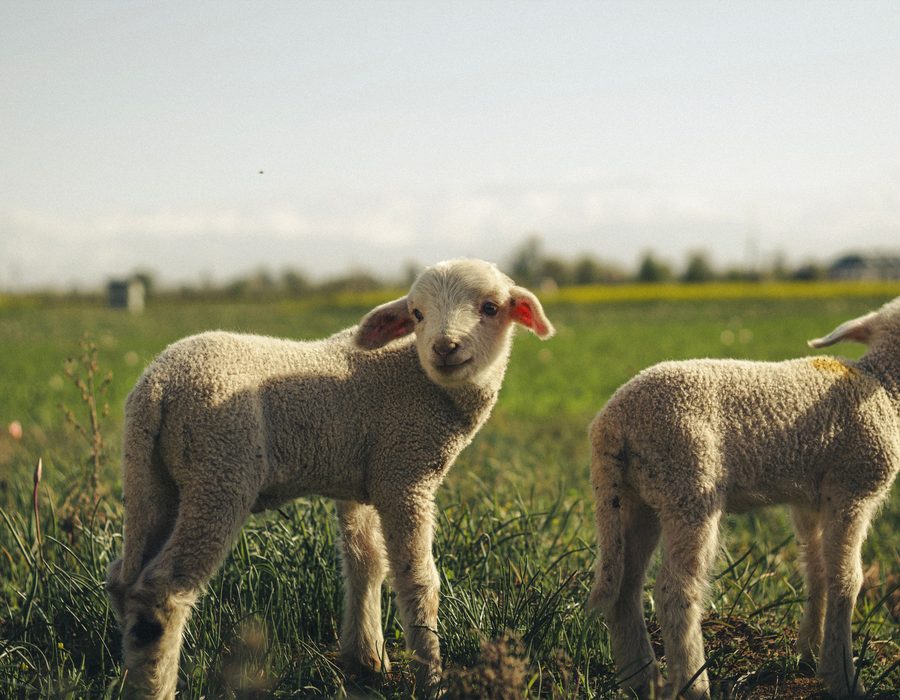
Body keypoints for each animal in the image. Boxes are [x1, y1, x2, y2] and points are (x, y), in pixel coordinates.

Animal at [104, 258, 555, 699]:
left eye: (490, 308)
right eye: (417, 314)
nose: (444, 348)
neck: (423, 382)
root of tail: (157, 386)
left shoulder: (362, 479)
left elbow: (365, 562)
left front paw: (366, 661)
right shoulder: (404, 475)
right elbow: (417, 579)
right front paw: (431, 679)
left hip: (153, 476)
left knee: (123, 579)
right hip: (220, 469)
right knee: (162, 592)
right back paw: (155, 687)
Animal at [587, 297, 900, 699]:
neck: (884, 385)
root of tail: (612, 424)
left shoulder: (809, 501)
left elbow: (816, 571)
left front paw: (809, 653)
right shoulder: (854, 487)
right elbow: (846, 579)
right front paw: (843, 676)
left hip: (635, 498)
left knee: (625, 589)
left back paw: (645, 681)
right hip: (688, 484)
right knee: (674, 591)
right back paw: (693, 684)